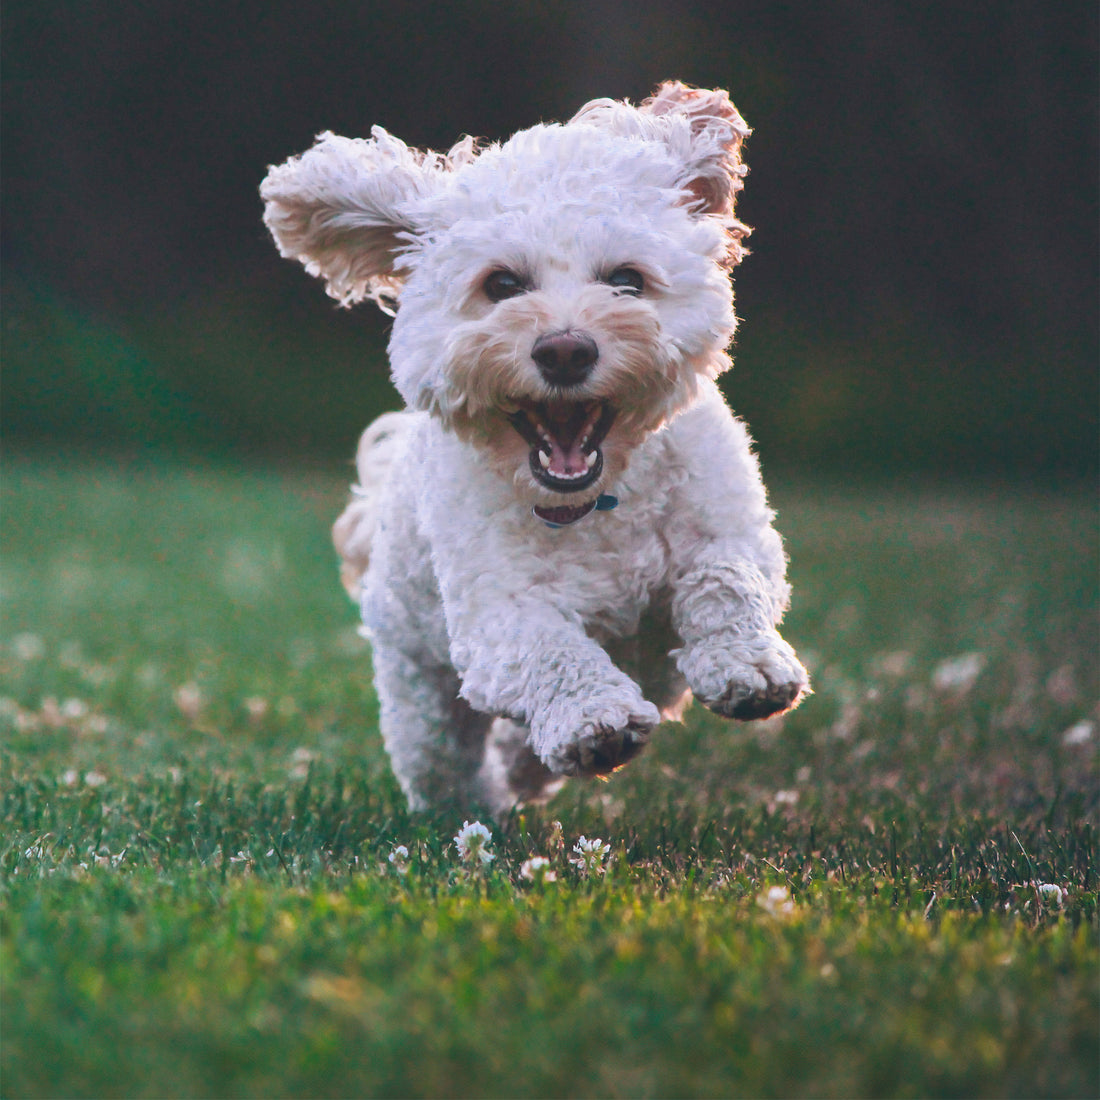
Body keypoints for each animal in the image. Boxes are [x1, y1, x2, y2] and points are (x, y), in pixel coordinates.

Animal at [257, 81, 809, 814]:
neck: (597, 502)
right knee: (441, 758)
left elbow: (726, 578)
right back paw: (481, 802)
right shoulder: (497, 614)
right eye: (501, 285)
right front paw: (593, 720)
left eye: (626, 280)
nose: (566, 350)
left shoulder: (730, 527)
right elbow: (550, 650)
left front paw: (748, 665)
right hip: (418, 685)